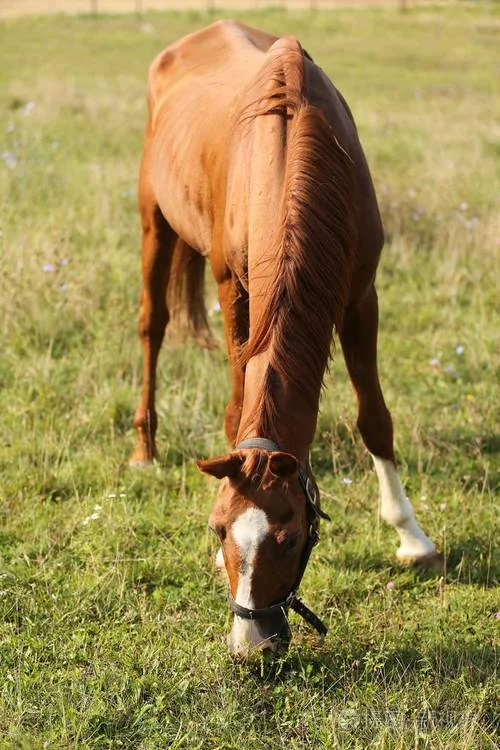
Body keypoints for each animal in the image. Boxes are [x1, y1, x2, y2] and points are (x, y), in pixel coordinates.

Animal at [130, 20, 438, 656]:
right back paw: (144, 449)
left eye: (292, 537)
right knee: (152, 326)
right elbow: (235, 408)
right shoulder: (235, 289)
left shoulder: (361, 297)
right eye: (218, 529)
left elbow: (375, 419)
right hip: (155, 221)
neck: (291, 144)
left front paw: (411, 536)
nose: (254, 647)